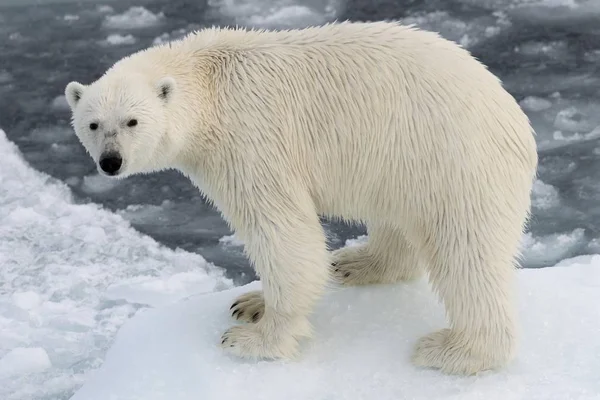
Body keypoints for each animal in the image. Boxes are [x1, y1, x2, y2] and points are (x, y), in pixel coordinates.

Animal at [65, 20, 540, 376]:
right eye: (93, 123)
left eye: (132, 121)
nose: (111, 161)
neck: (207, 85)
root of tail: (516, 121)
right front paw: (250, 304)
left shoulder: (250, 141)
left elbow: (284, 234)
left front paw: (253, 339)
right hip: (402, 166)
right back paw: (357, 263)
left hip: (453, 163)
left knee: (466, 256)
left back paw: (454, 351)